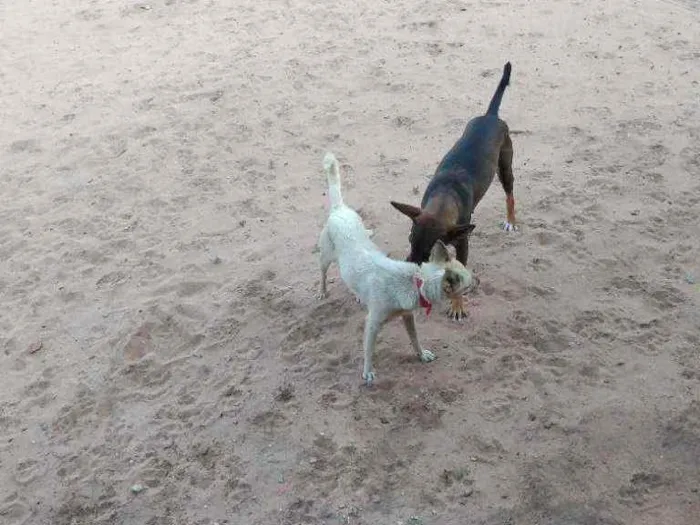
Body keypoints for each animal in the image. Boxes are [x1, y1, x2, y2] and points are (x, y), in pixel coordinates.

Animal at [318, 151, 476, 384]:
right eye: (468, 282)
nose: (479, 280)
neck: (414, 282)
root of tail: (340, 209)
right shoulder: (372, 324)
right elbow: (369, 351)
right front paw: (367, 372)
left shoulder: (407, 316)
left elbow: (414, 338)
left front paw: (421, 354)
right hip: (325, 257)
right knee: (322, 273)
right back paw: (322, 291)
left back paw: (357, 295)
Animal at [392, 59, 516, 318]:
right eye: (410, 239)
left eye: (428, 254)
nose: (409, 270)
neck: (444, 198)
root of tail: (490, 116)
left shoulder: (462, 245)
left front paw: (457, 306)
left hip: (505, 166)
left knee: (510, 193)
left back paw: (511, 220)